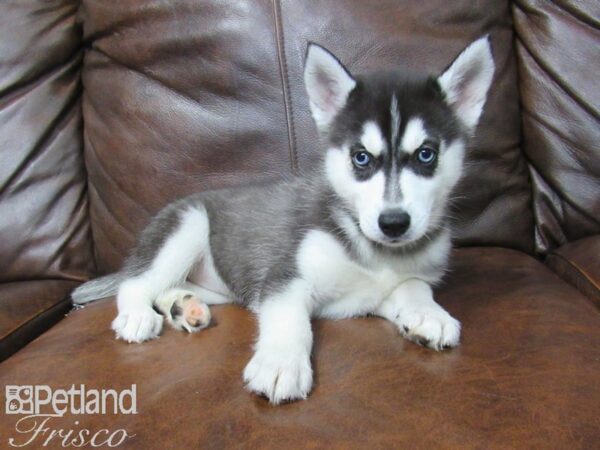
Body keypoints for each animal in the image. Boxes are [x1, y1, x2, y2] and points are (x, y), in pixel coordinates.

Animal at [72, 37, 494, 404]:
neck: (375, 252)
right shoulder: (285, 276)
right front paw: (280, 363)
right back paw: (138, 314)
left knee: (172, 286)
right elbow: (290, 320)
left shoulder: (378, 292)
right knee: (136, 283)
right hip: (186, 226)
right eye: (361, 157)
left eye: (426, 154)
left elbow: (412, 286)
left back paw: (183, 306)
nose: (393, 223)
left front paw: (429, 314)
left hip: (222, 286)